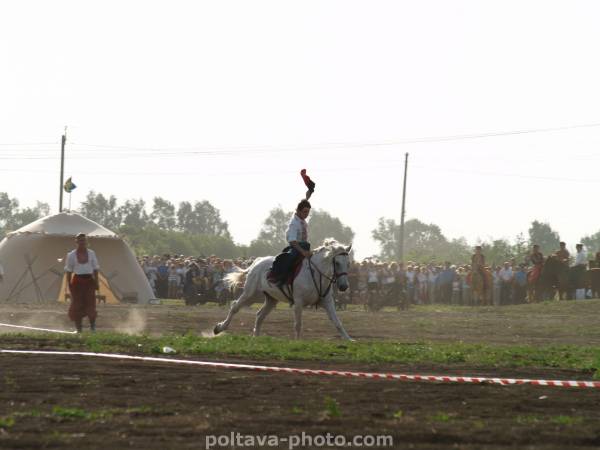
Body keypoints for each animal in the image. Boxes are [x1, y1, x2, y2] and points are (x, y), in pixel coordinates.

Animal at [212, 239, 354, 338]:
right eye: (337, 263)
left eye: (348, 264)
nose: (344, 286)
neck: (315, 273)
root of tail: (257, 262)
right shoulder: (298, 302)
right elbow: (298, 324)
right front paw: (297, 341)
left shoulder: (327, 302)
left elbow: (337, 322)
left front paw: (348, 339)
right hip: (250, 293)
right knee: (235, 307)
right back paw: (219, 328)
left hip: (270, 299)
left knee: (259, 315)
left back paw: (255, 337)